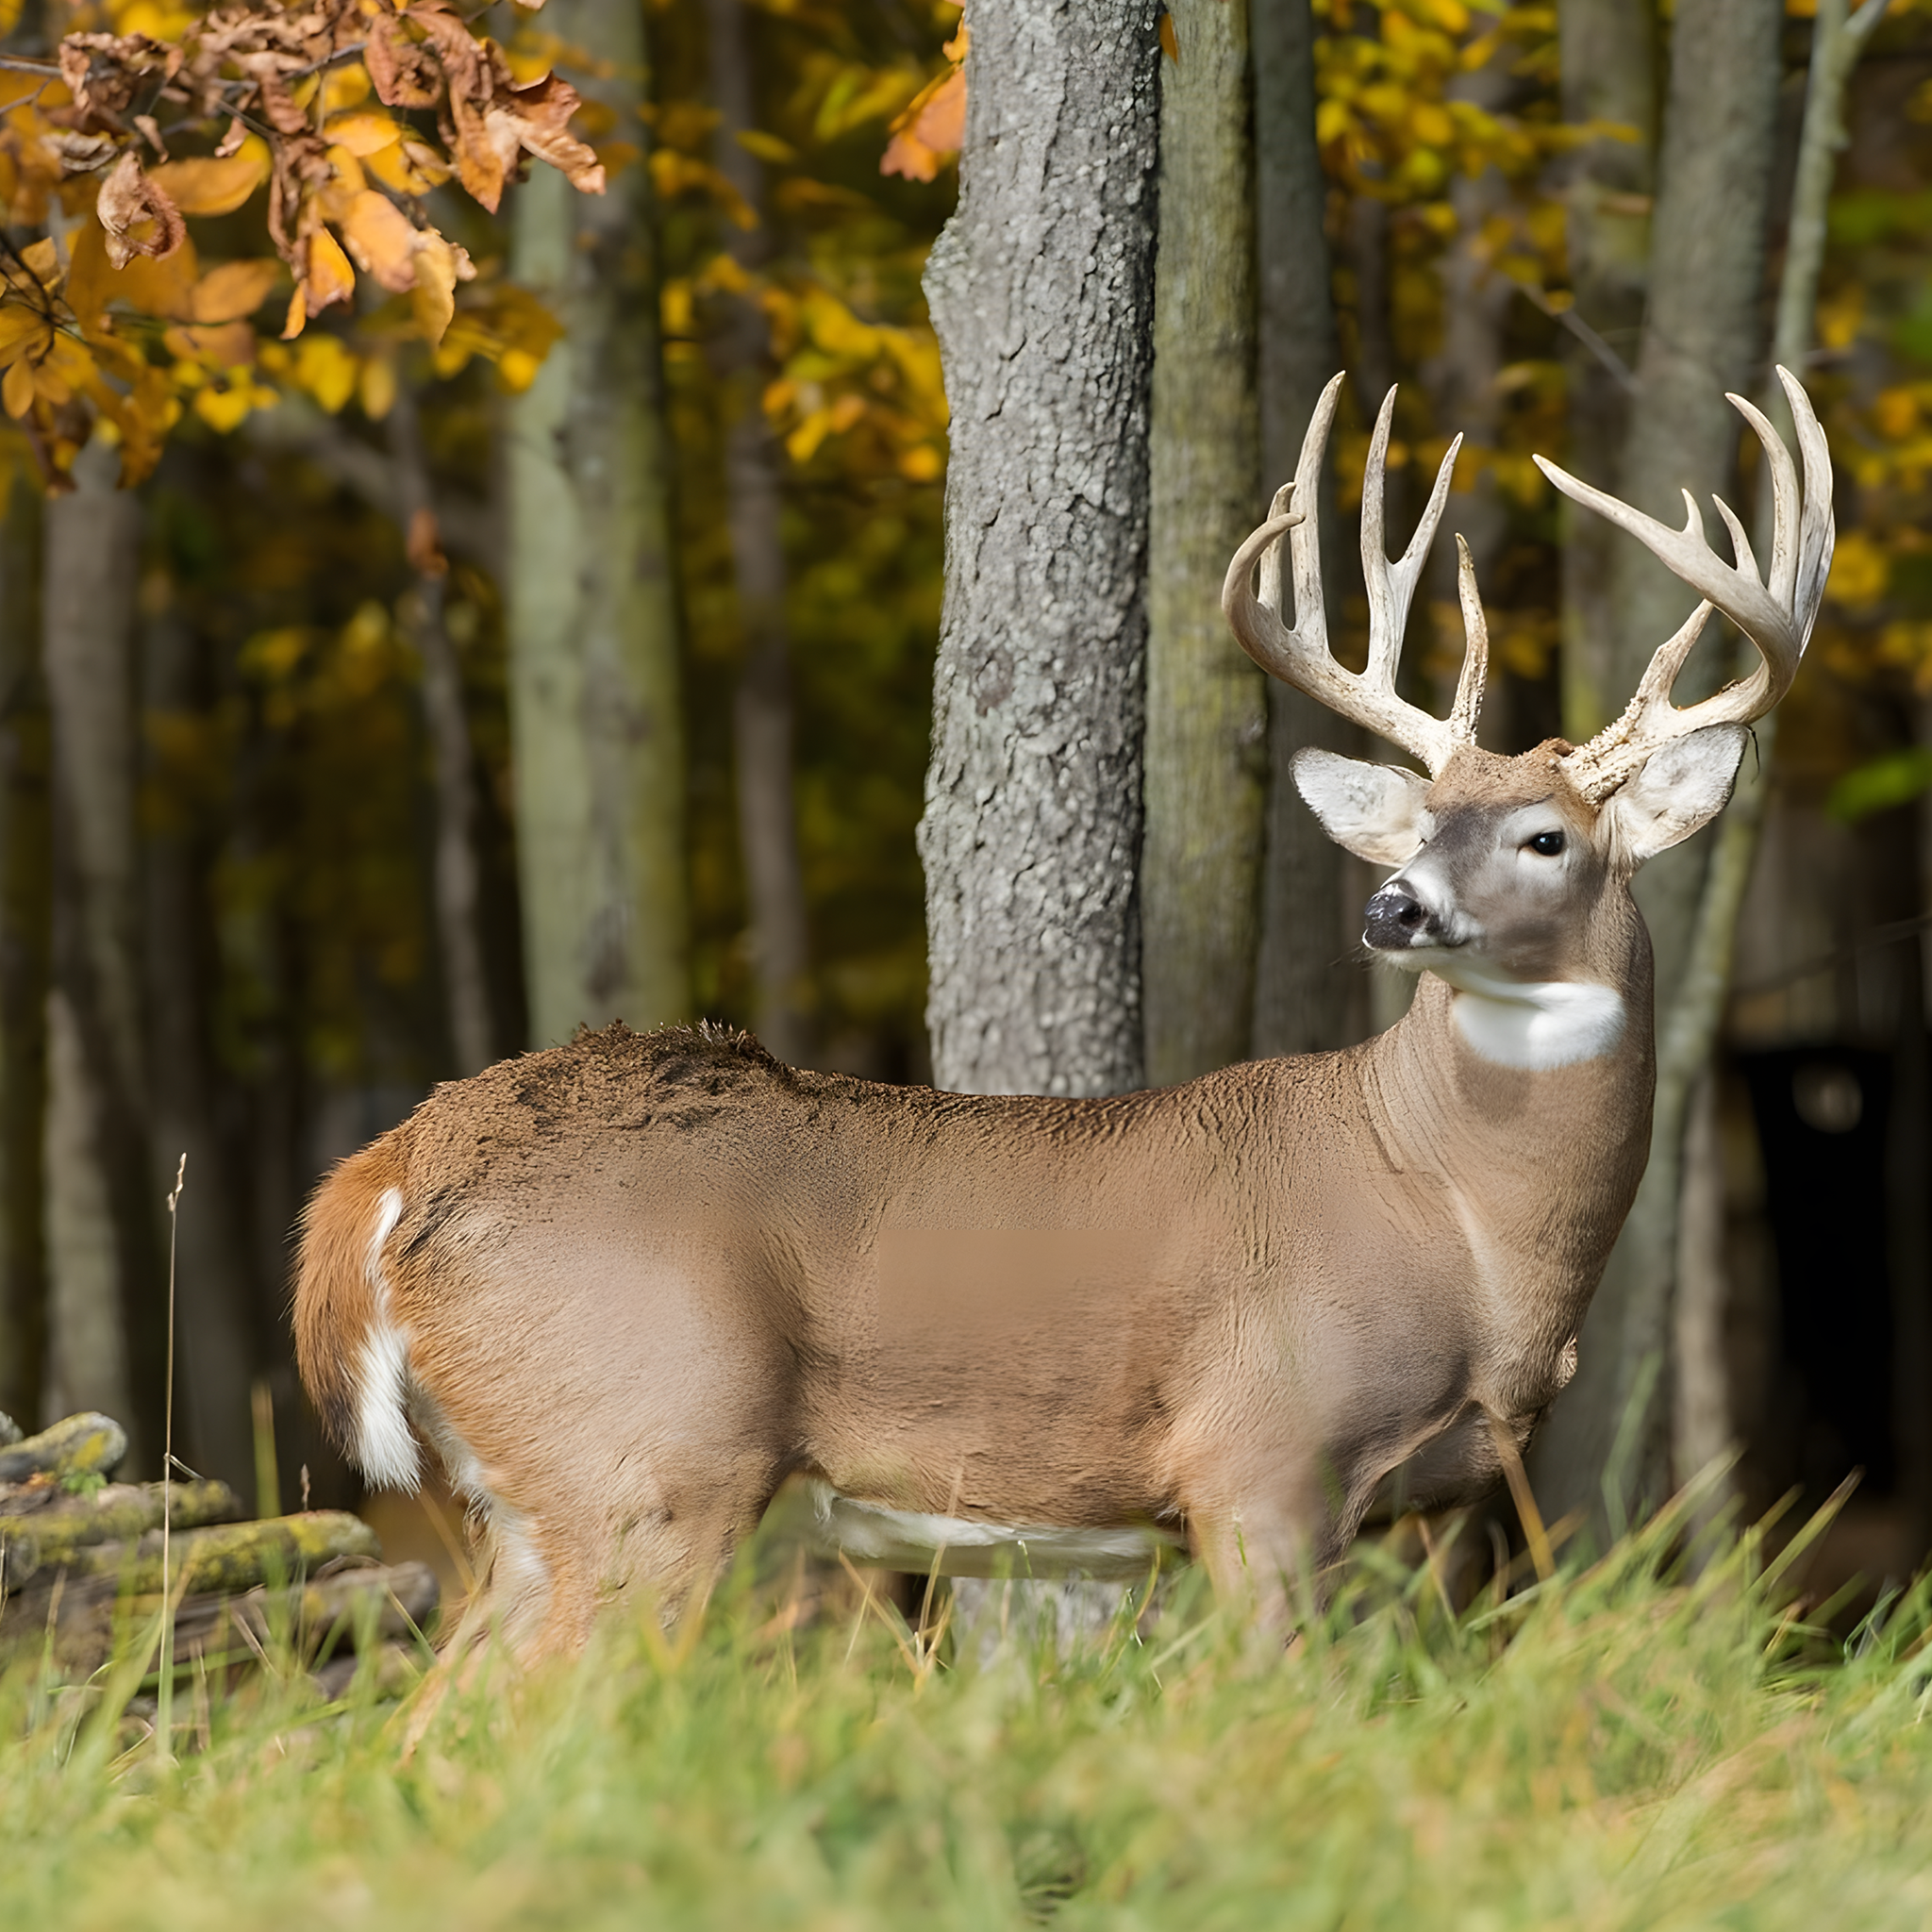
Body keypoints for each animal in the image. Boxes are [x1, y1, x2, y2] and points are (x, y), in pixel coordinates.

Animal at [294, 369, 1833, 1661]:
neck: (1465, 1221)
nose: (1393, 908)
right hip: (647, 1460)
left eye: (1544, 836)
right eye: (1417, 828)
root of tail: (392, 1166)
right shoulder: (1256, 1456)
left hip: (536, 1506)